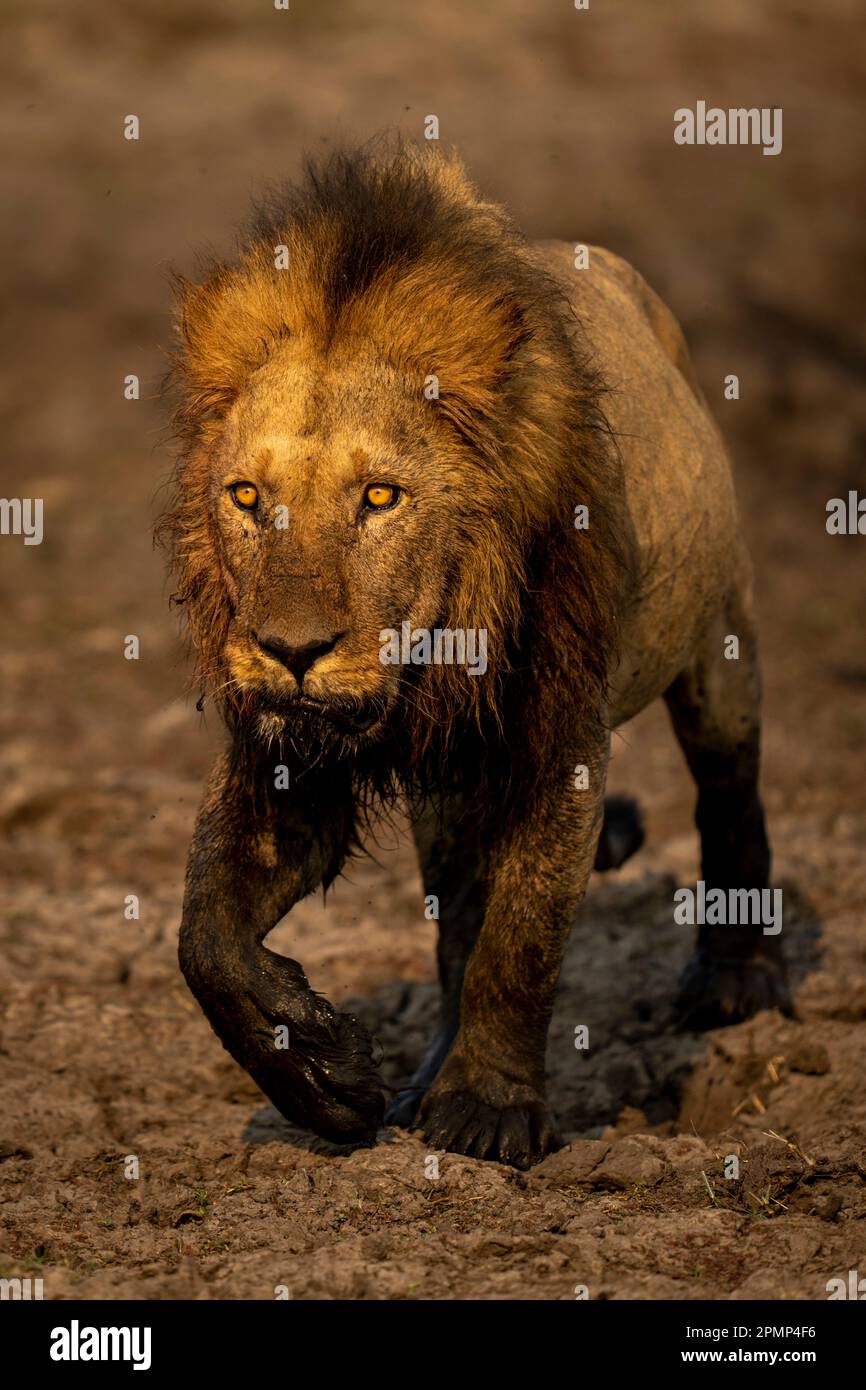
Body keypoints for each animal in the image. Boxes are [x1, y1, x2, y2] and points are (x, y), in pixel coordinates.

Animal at [159, 141, 789, 1167]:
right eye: (247, 497)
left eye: (380, 497)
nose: (290, 650)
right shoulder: (286, 752)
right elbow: (204, 933)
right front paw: (330, 1079)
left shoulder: (559, 742)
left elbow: (520, 940)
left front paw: (488, 1115)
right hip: (450, 787)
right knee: (455, 919)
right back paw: (423, 1075)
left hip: (718, 638)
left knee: (730, 791)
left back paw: (738, 981)